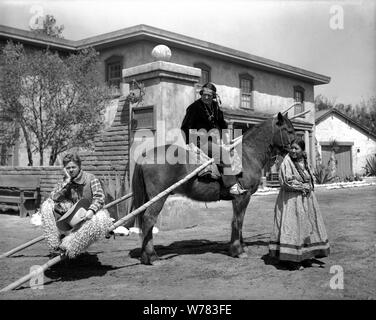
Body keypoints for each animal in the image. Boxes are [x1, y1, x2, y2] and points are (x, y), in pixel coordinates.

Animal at [131, 112, 296, 264]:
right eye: (288, 130)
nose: (298, 147)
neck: (248, 155)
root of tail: (145, 156)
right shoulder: (242, 196)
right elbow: (238, 221)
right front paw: (237, 250)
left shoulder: (239, 199)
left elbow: (238, 221)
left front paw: (239, 247)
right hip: (158, 198)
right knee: (148, 219)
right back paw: (152, 256)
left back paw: (145, 256)